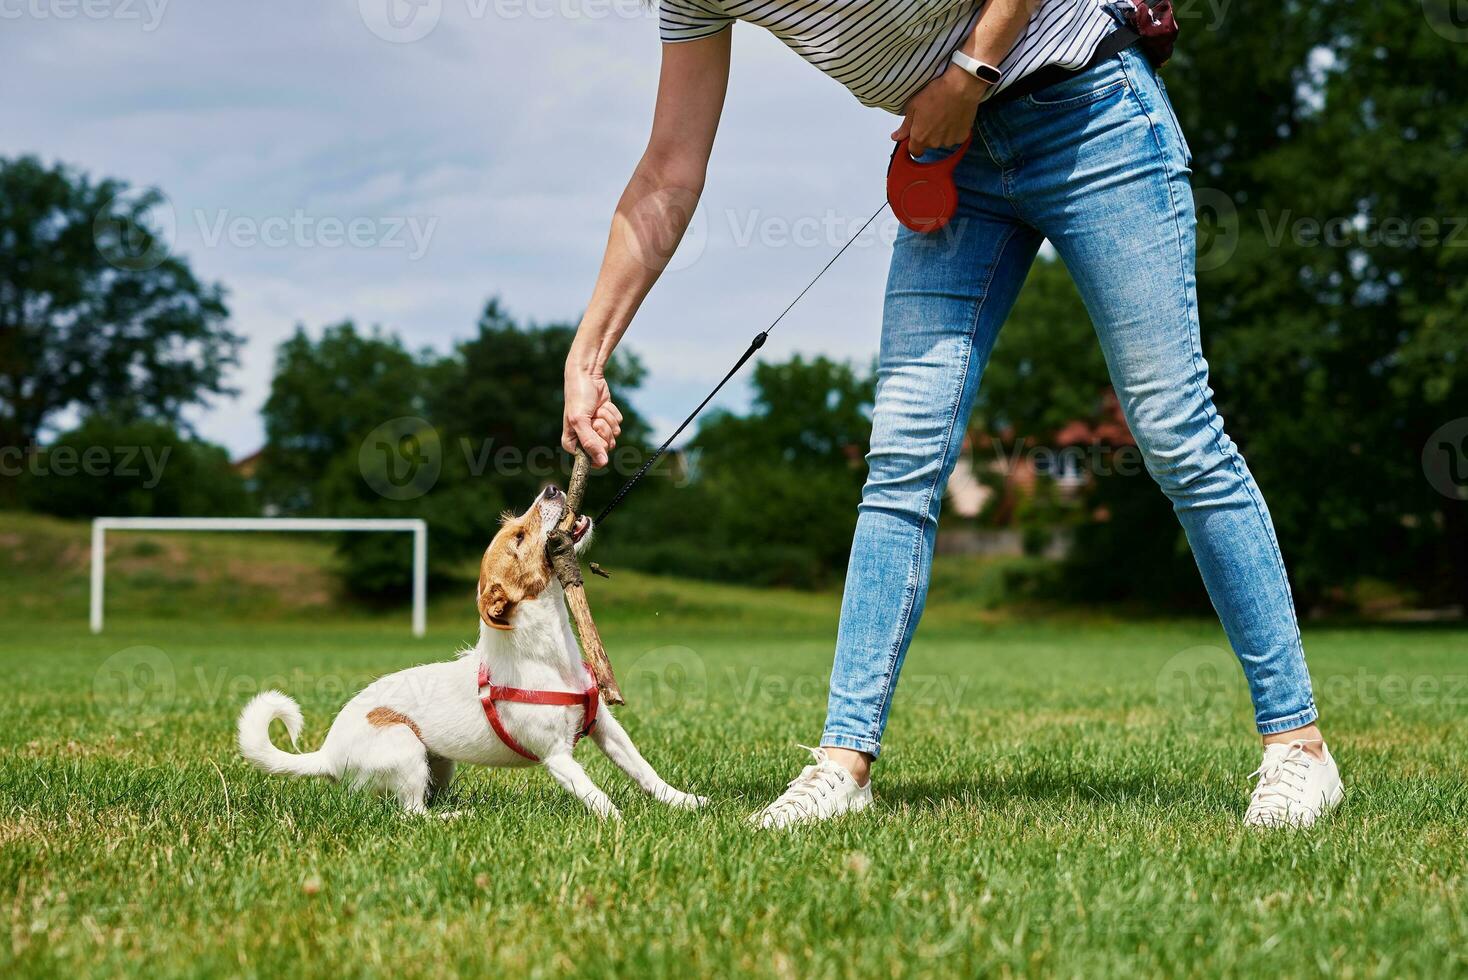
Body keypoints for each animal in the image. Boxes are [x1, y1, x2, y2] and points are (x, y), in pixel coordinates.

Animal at [236, 484, 704, 821]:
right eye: (519, 536)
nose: (553, 487)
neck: (550, 654)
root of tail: (327, 756)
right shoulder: (556, 757)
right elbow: (596, 795)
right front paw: (623, 824)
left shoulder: (607, 728)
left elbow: (643, 770)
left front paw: (683, 802)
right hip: (403, 747)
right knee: (411, 814)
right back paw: (455, 818)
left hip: (438, 763)